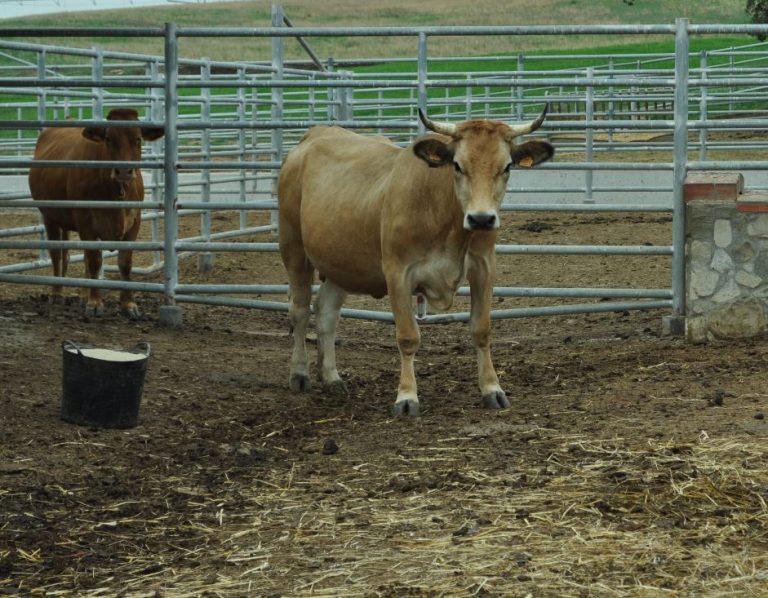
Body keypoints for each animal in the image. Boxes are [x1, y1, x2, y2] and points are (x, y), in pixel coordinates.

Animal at [28, 110, 164, 322]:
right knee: (57, 254)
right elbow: (94, 261)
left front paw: (128, 304)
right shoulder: (85, 221)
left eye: (138, 138)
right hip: (50, 216)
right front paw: (95, 303)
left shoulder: (134, 222)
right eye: (108, 139)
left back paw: (83, 294)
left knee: (74, 256)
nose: (123, 171)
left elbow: (124, 263)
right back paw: (57, 292)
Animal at [280, 105, 556, 418]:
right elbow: (408, 337)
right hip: (294, 249)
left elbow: (481, 330)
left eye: (507, 166)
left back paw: (332, 378)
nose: (482, 219)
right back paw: (299, 374)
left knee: (326, 313)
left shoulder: (485, 268)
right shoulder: (398, 273)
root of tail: (314, 136)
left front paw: (492, 389)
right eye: (457, 165)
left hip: (341, 264)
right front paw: (406, 397)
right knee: (300, 310)